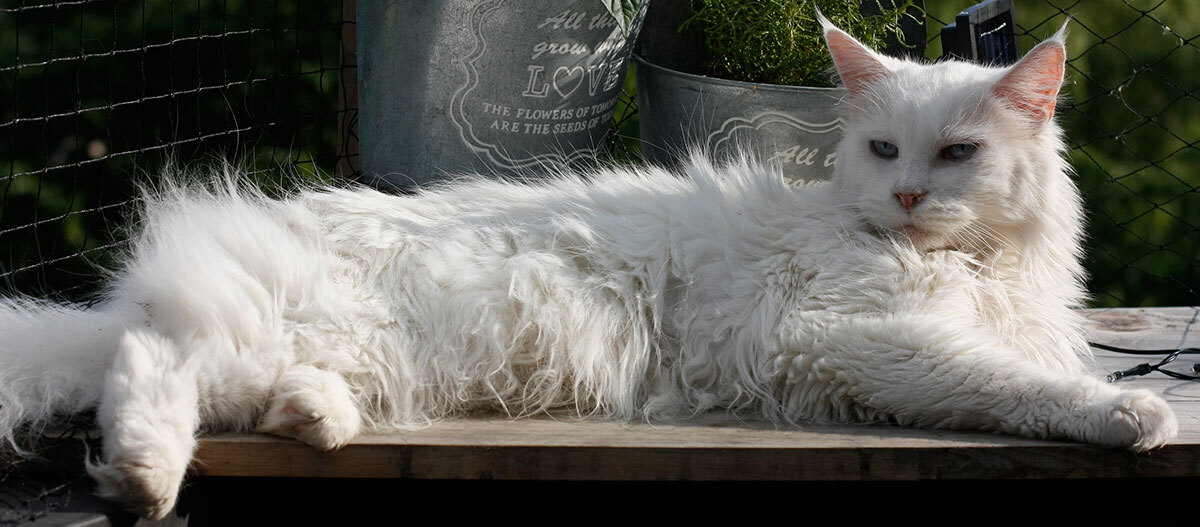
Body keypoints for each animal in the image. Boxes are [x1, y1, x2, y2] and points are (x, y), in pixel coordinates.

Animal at [0, 18, 1176, 518]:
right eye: (888, 149)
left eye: (958, 153)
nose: (907, 198)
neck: (970, 266)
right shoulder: (851, 339)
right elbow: (1010, 383)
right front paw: (1129, 415)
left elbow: (1022, 365)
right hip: (255, 327)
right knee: (148, 366)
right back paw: (146, 479)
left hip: (335, 349)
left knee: (219, 384)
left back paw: (314, 418)